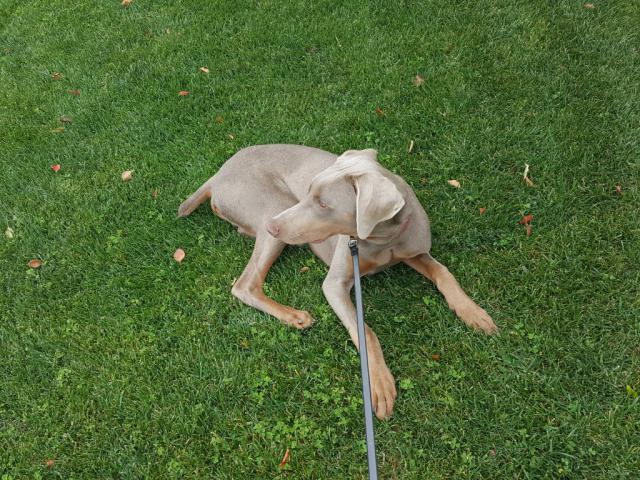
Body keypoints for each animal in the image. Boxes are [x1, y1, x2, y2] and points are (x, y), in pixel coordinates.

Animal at [178, 144, 498, 418]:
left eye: (322, 204)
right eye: (309, 191)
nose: (272, 226)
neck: (383, 240)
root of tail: (217, 175)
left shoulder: (415, 250)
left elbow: (444, 273)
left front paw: (473, 313)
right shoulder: (334, 283)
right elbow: (365, 331)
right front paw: (379, 384)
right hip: (273, 205)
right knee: (245, 284)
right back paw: (294, 316)